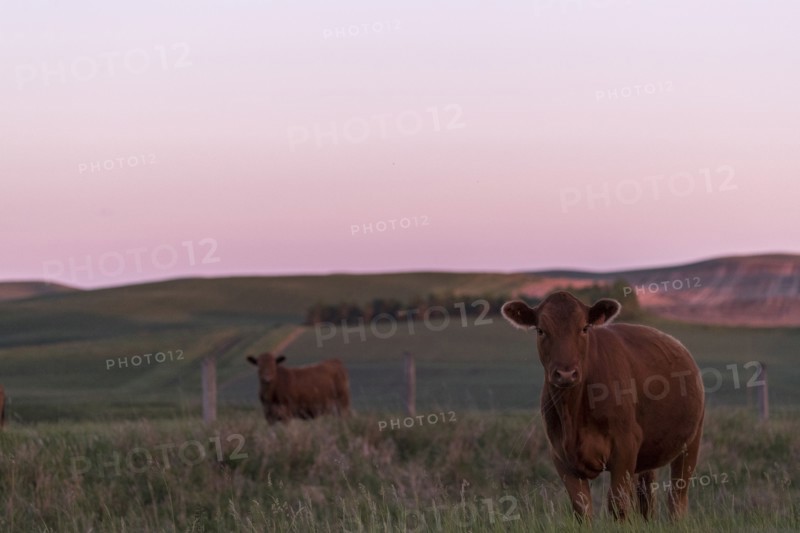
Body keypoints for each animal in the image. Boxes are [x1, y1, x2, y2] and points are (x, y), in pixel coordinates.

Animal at [501, 291, 704, 521]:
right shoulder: (561, 456)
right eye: (541, 330)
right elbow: (582, 509)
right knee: (646, 499)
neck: (573, 412)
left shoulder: (625, 446)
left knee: (677, 498)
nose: (566, 374)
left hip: (691, 442)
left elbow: (618, 505)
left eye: (584, 328)